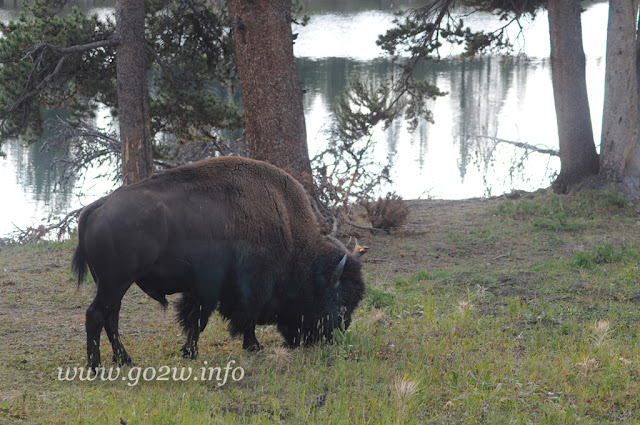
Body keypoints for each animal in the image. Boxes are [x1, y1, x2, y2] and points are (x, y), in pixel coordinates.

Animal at [71, 156, 364, 368]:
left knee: (111, 318)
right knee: (95, 315)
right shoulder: (240, 288)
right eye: (338, 301)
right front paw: (251, 346)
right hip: (115, 283)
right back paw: (96, 366)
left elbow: (196, 319)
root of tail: (95, 208)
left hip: (114, 285)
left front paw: (191, 351)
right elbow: (230, 319)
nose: (335, 336)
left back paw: (124, 360)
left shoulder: (203, 289)